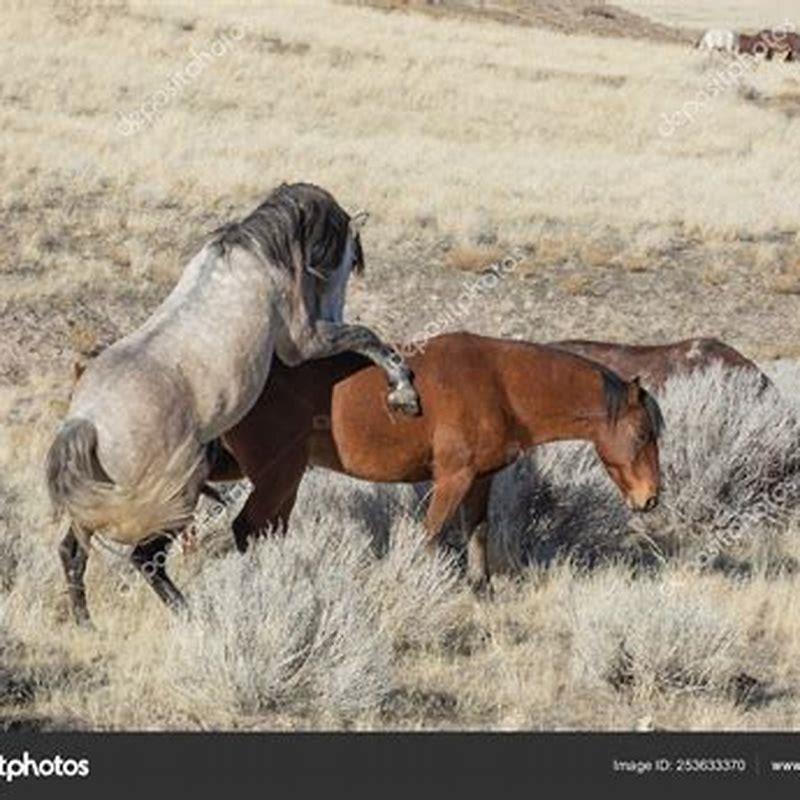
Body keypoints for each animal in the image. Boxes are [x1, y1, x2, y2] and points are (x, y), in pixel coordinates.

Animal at [46, 182, 420, 627]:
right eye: (348, 259)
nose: (335, 309)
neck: (259, 254)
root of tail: (86, 424)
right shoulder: (303, 343)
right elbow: (365, 336)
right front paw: (404, 390)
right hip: (177, 494)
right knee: (145, 557)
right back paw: (189, 611)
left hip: (101, 507)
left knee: (73, 551)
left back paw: (85, 620)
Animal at [203, 332, 663, 595]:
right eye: (643, 435)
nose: (651, 499)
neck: (499, 384)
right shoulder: (452, 479)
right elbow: (431, 535)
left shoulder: (479, 480)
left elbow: (477, 532)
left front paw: (481, 589)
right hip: (277, 476)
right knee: (246, 528)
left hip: (277, 477)